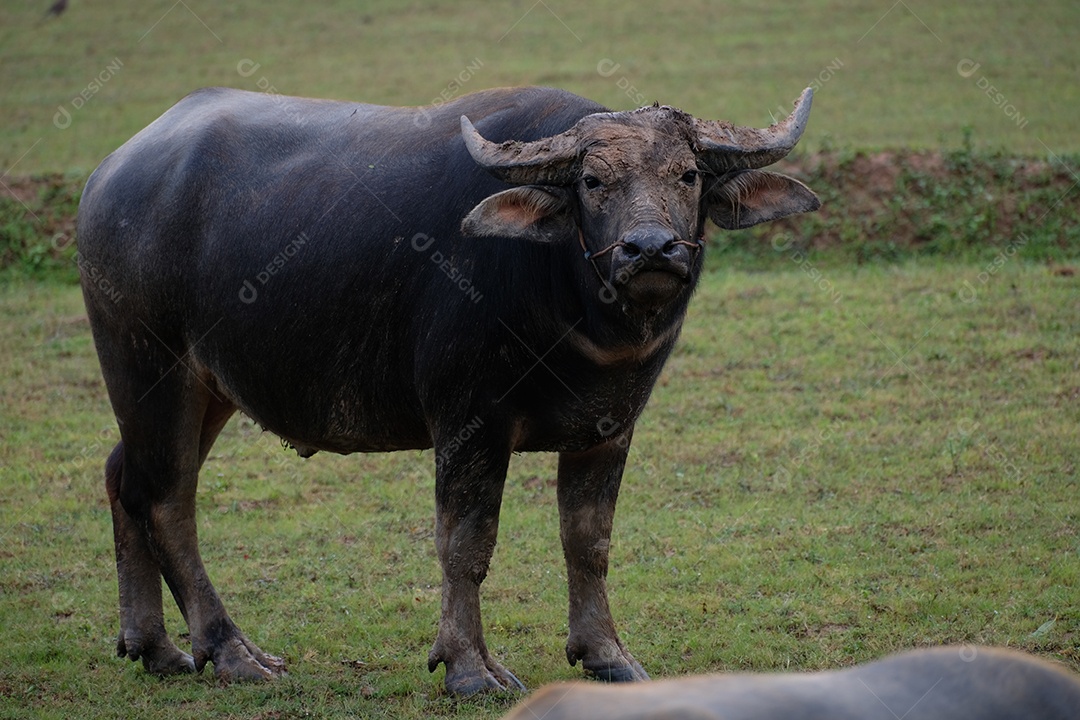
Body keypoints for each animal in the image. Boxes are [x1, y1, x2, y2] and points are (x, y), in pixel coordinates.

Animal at [76, 85, 816, 699]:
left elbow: (589, 540)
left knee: (124, 478)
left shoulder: (610, 427)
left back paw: (155, 648)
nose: (652, 249)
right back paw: (230, 652)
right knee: (167, 499)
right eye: (593, 180)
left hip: (204, 389)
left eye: (687, 175)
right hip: (149, 368)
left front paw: (607, 654)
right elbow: (466, 543)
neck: (571, 302)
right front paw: (468, 668)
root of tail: (109, 177)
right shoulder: (470, 422)